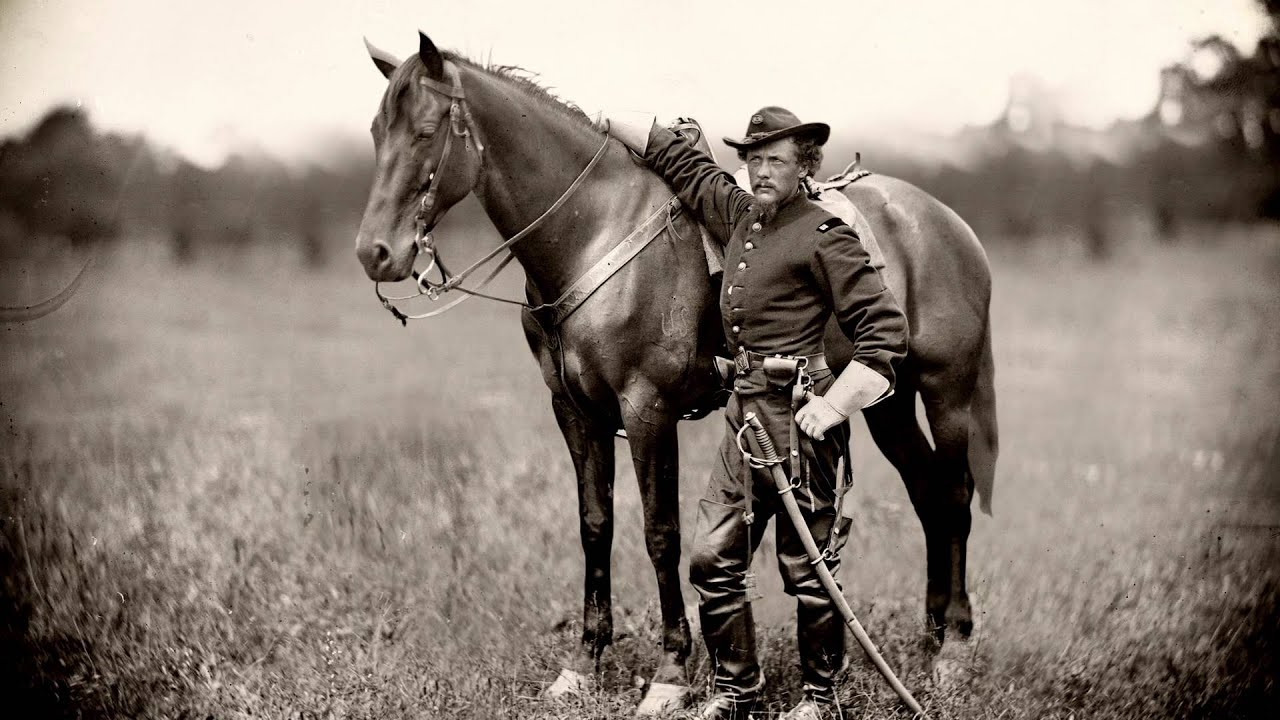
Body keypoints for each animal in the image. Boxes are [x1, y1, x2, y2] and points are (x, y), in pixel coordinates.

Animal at [355, 32, 998, 705]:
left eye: (426, 131)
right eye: (376, 130)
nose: (376, 253)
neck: (592, 231)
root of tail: (944, 222)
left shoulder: (648, 409)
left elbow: (659, 532)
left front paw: (670, 672)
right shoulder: (574, 411)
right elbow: (595, 525)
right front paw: (584, 662)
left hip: (945, 393)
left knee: (953, 494)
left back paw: (952, 647)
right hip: (886, 403)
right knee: (926, 492)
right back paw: (929, 636)